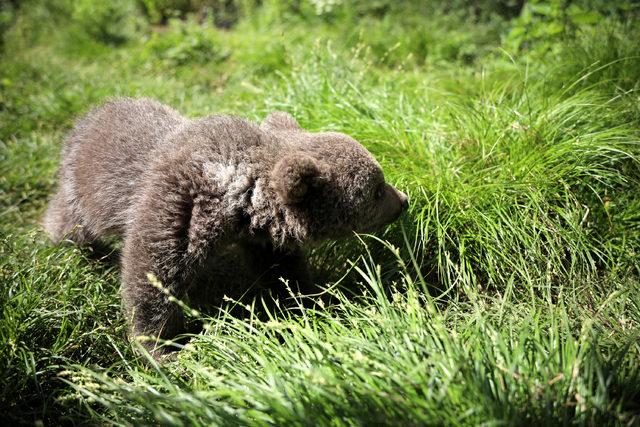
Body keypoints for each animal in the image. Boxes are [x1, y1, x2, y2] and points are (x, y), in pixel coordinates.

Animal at [45, 97, 408, 358]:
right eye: (376, 189)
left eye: (379, 179)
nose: (403, 200)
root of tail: (87, 117)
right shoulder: (177, 207)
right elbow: (151, 275)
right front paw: (162, 347)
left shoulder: (261, 237)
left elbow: (282, 271)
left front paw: (309, 300)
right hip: (86, 192)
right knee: (71, 221)